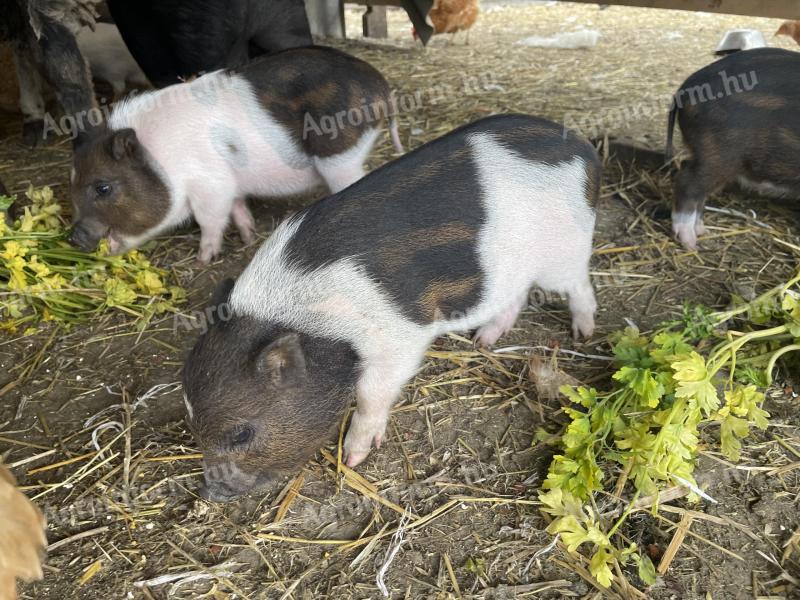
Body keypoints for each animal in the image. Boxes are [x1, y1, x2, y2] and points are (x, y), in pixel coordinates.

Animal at [69, 47, 404, 262]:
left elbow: (210, 219)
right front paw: (247, 236)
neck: (164, 162)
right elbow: (237, 206)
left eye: (103, 187)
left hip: (339, 157)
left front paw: (204, 258)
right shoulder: (231, 185)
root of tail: (381, 87)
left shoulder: (211, 185)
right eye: (72, 187)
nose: (74, 237)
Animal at [183, 115, 600, 504]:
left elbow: (371, 395)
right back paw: (483, 340)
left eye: (241, 433)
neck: (310, 325)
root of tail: (583, 149)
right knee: (515, 295)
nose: (211, 493)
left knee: (580, 286)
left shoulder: (398, 339)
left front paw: (352, 459)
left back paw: (584, 332)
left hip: (565, 252)